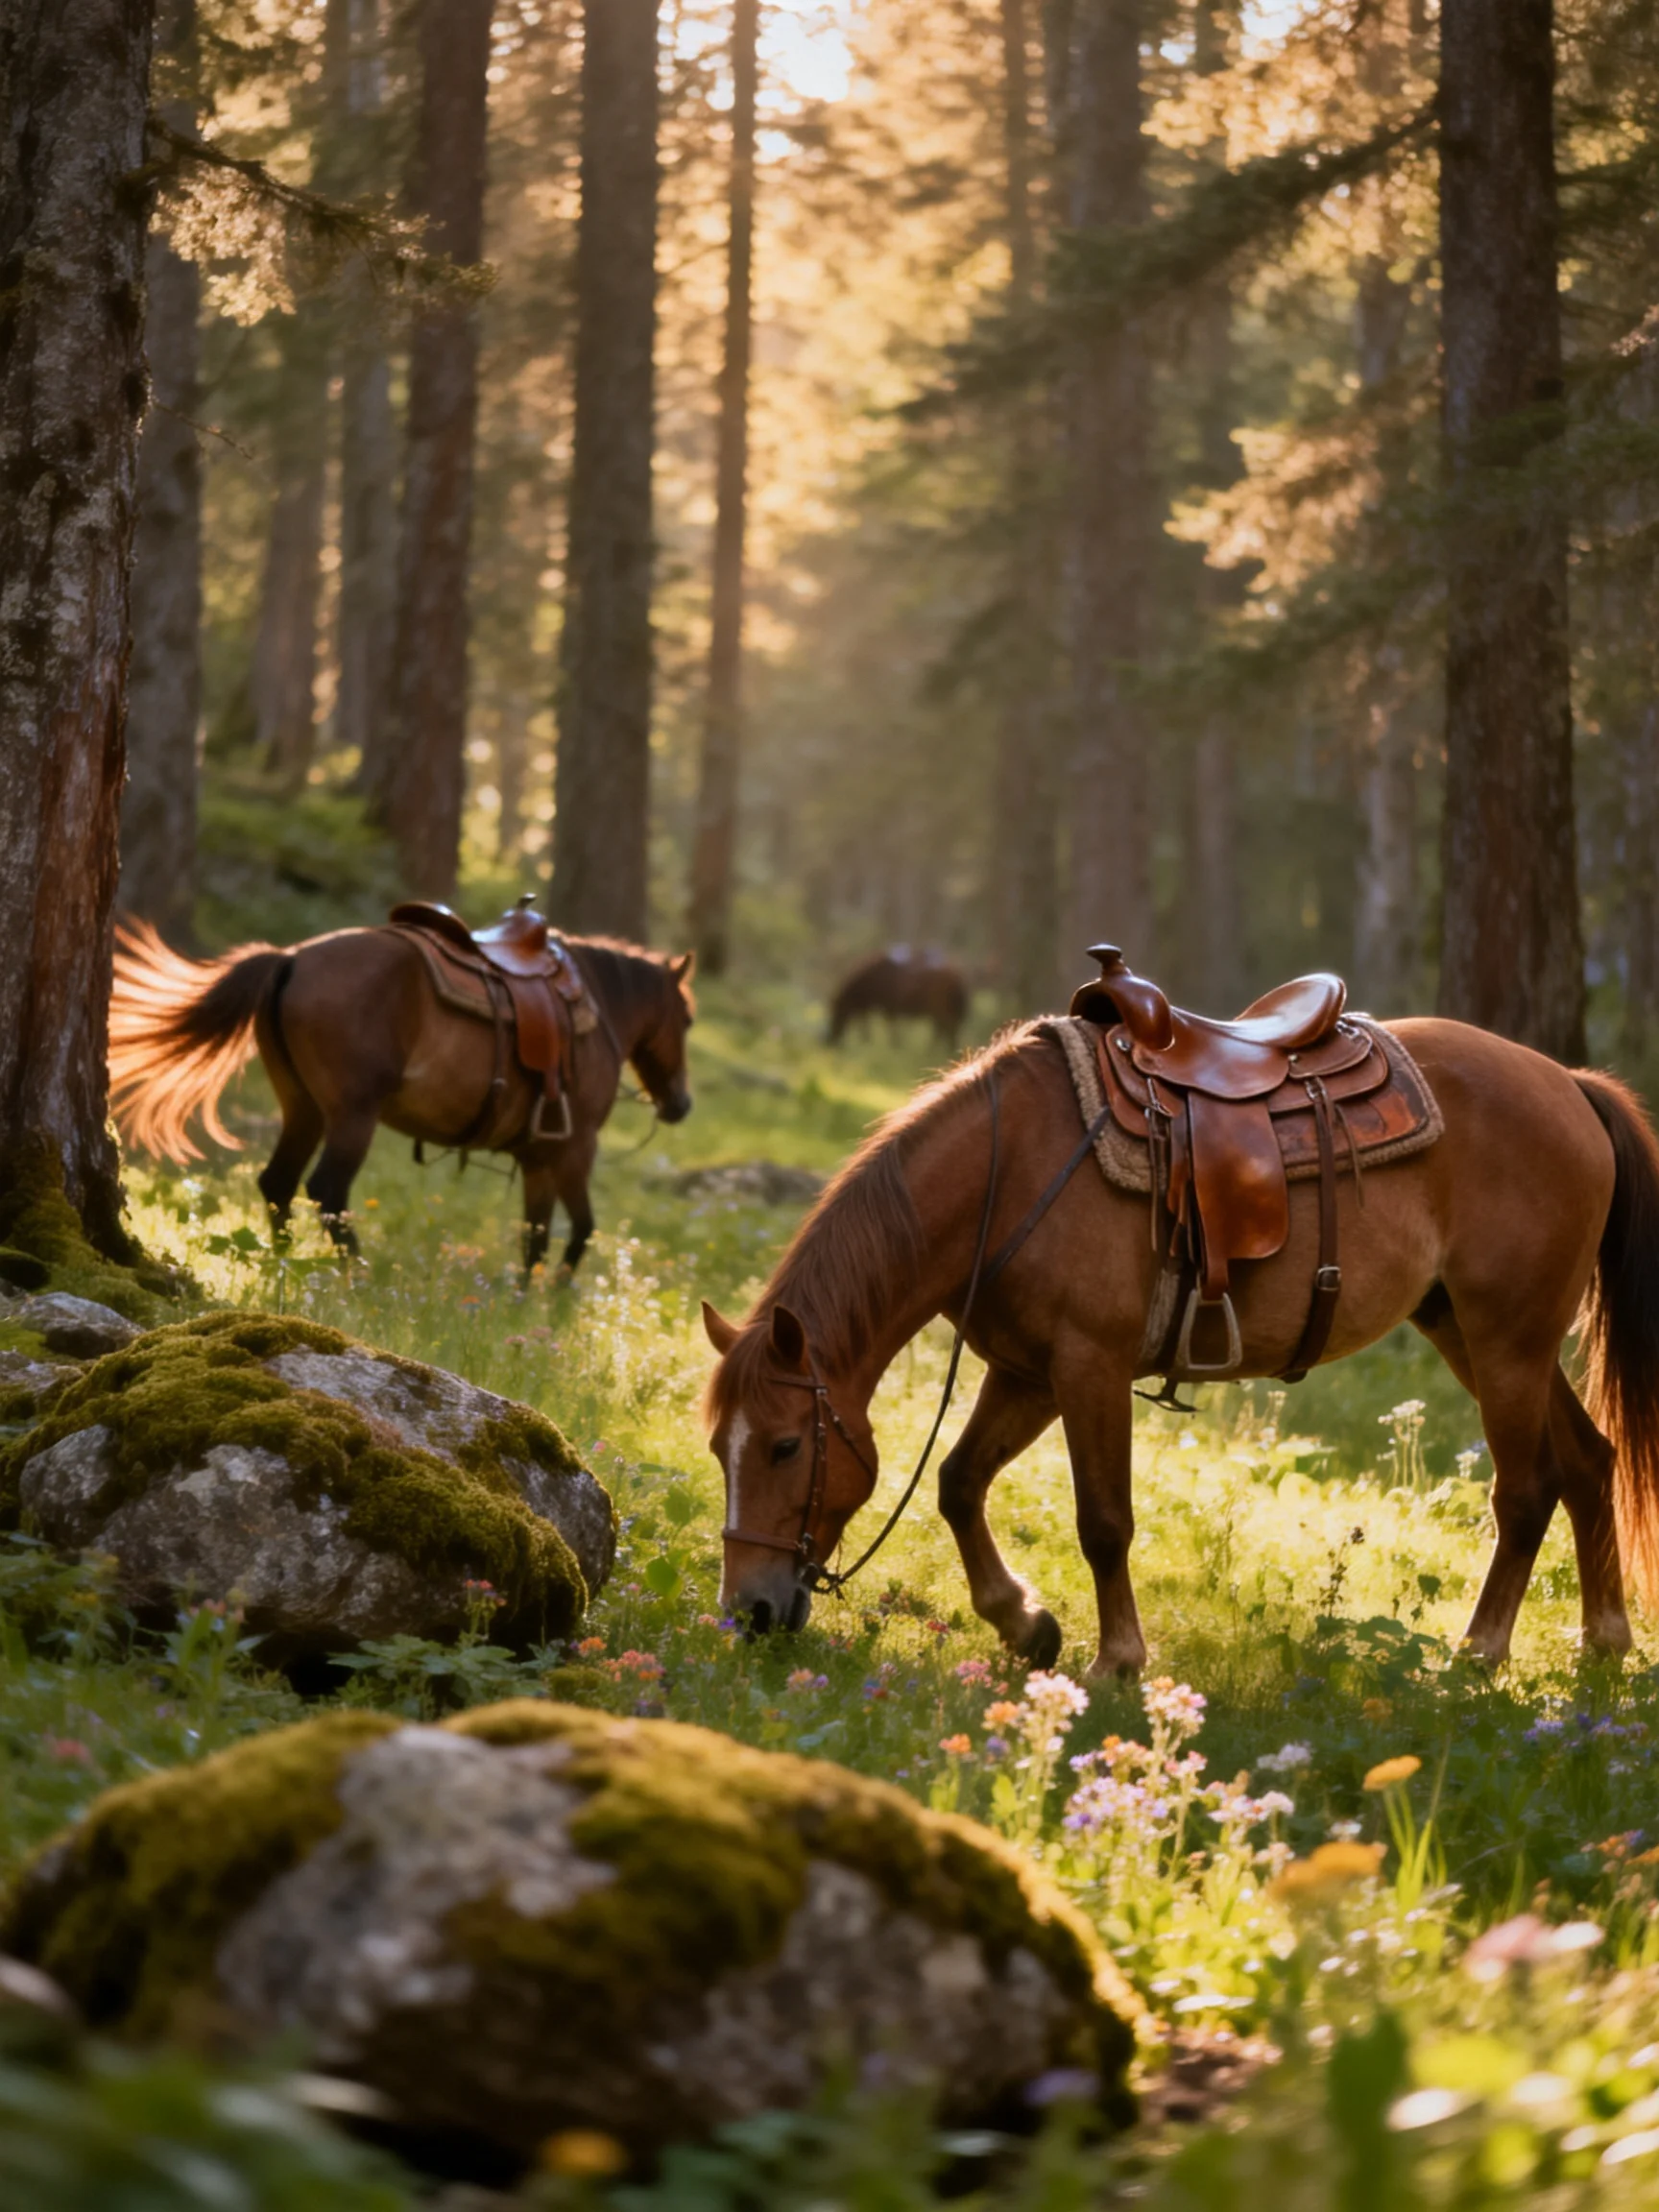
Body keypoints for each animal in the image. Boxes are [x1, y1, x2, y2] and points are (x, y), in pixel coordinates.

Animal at [108, 920, 695, 1274]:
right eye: (688, 1019)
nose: (681, 1105)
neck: (594, 1006)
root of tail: (290, 958)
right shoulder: (574, 1148)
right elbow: (579, 1231)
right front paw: (556, 1302)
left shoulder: (537, 1158)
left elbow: (536, 1237)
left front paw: (525, 1304)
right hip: (352, 1114)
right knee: (327, 1189)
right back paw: (356, 1275)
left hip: (303, 1108)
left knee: (278, 1183)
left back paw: (286, 1263)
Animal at [701, 1014, 1659, 1674]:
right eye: (719, 1449)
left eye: (785, 1446)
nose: (747, 1612)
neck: (1004, 1182)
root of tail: (1571, 1084)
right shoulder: (1026, 1372)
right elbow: (959, 1484)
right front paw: (1026, 1624)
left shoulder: (1089, 1365)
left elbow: (1103, 1523)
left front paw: (1116, 1659)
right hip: (1471, 1329)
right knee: (1589, 1461)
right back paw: (1603, 1643)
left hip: (1508, 1341)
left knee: (1526, 1491)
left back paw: (1480, 1653)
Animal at [827, 949, 969, 1050]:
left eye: (836, 1013)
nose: (831, 1042)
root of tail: (957, 977)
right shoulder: (886, 1009)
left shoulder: (887, 1009)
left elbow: (888, 1029)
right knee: (945, 1031)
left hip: (941, 1011)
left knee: (947, 1031)